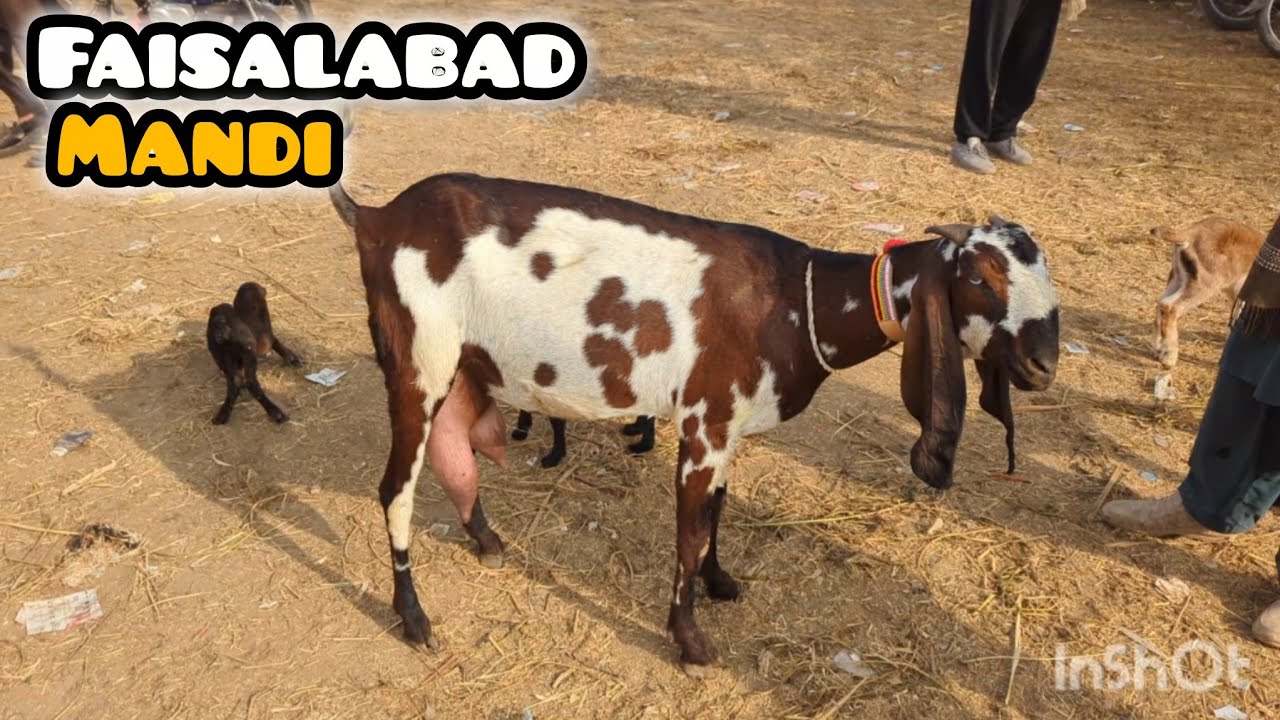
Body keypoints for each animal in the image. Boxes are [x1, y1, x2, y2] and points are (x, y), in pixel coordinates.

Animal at [1152, 217, 1264, 369]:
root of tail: (1190, 233)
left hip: (1179, 278)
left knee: (1161, 303)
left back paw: (1158, 351)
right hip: (1204, 286)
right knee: (1170, 307)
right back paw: (1169, 358)